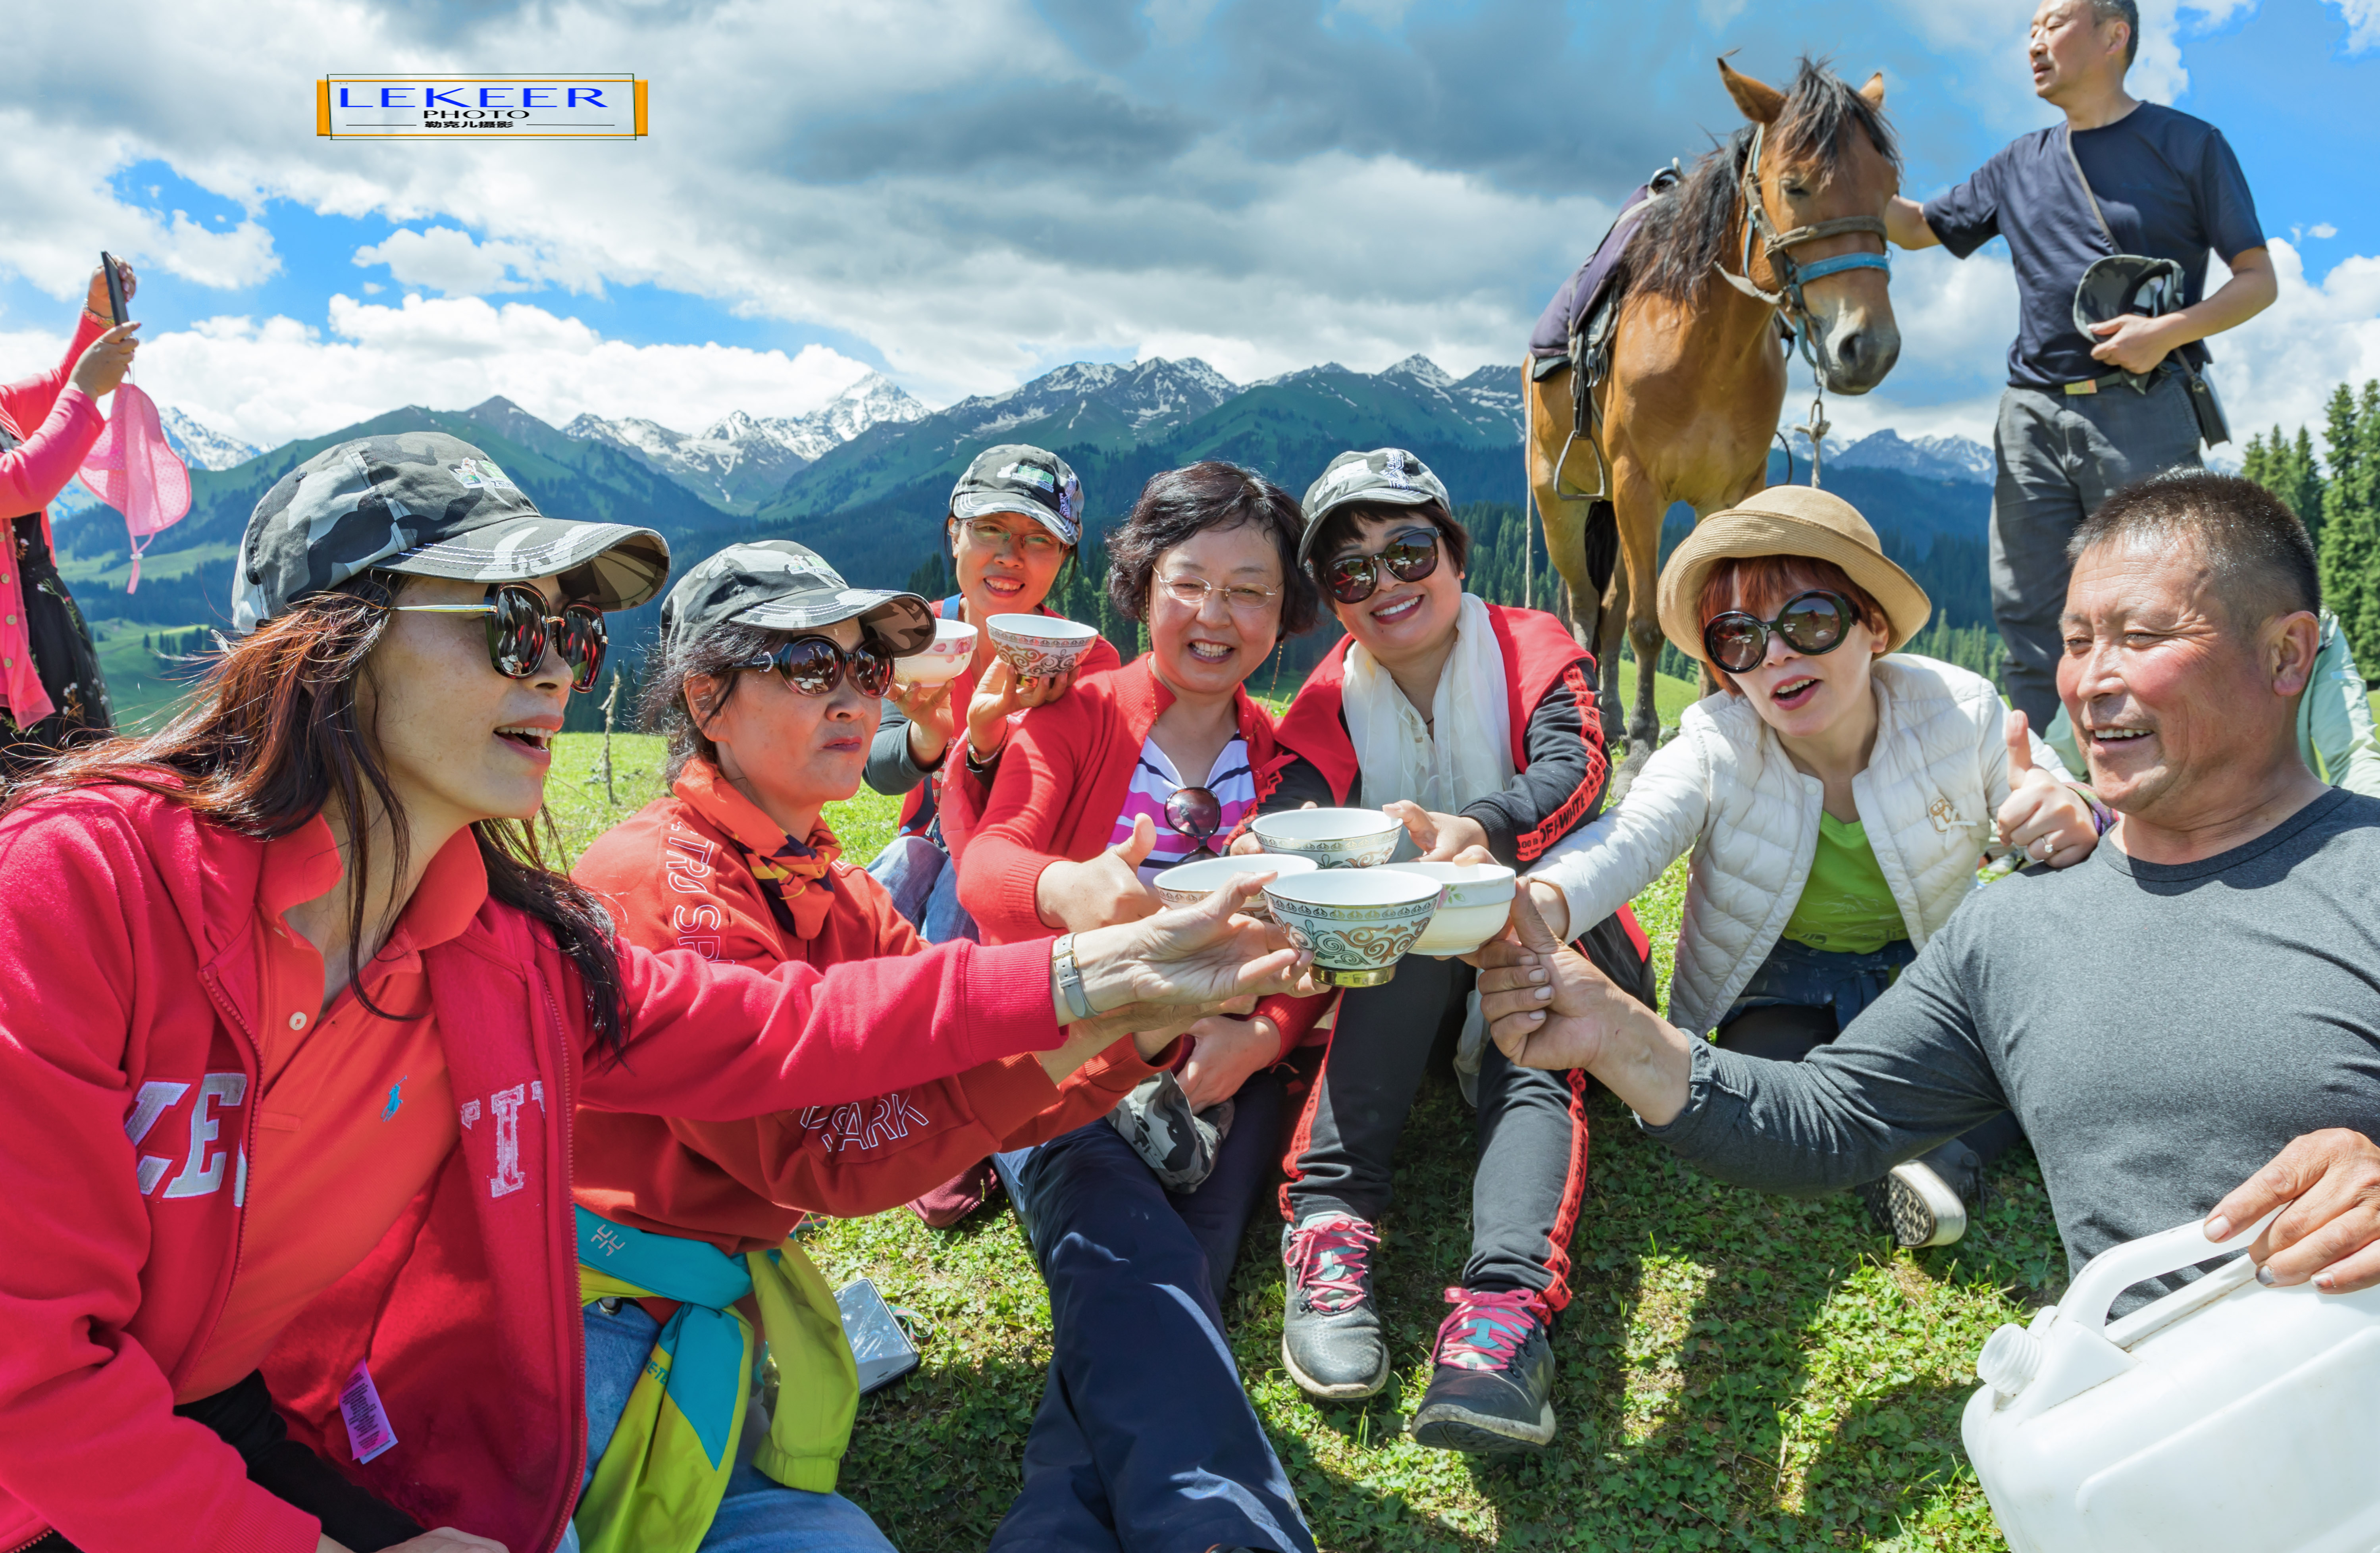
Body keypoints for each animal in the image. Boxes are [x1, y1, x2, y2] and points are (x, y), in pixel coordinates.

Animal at [1533, 58, 1904, 791]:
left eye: (1889, 191)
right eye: (1795, 185)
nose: (1868, 347)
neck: (1705, 345)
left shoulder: (1729, 496)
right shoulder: (1639, 486)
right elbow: (1649, 625)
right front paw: (1642, 748)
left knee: (1610, 606)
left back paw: (1609, 718)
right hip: (1563, 506)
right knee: (1588, 606)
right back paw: (1597, 720)